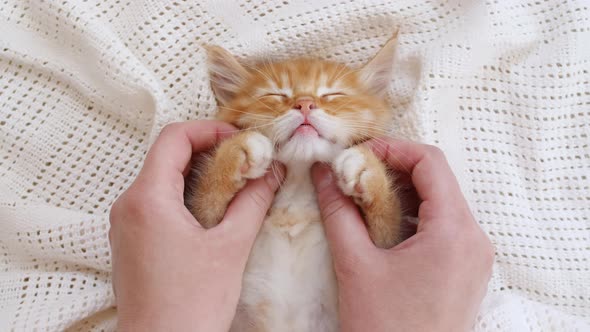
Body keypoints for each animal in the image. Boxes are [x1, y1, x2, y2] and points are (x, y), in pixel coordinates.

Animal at [188, 37, 402, 332]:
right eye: (275, 95)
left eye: (333, 95)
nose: (305, 104)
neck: (297, 195)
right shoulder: (207, 224)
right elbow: (207, 200)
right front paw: (238, 149)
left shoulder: (384, 247)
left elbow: (387, 225)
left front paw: (367, 168)